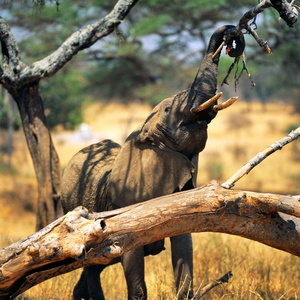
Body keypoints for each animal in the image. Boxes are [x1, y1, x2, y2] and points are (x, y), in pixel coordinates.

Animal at [60, 25, 244, 300]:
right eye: (168, 110)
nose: (231, 35)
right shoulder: (126, 203)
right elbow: (133, 266)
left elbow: (184, 247)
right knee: (93, 265)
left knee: (96, 266)